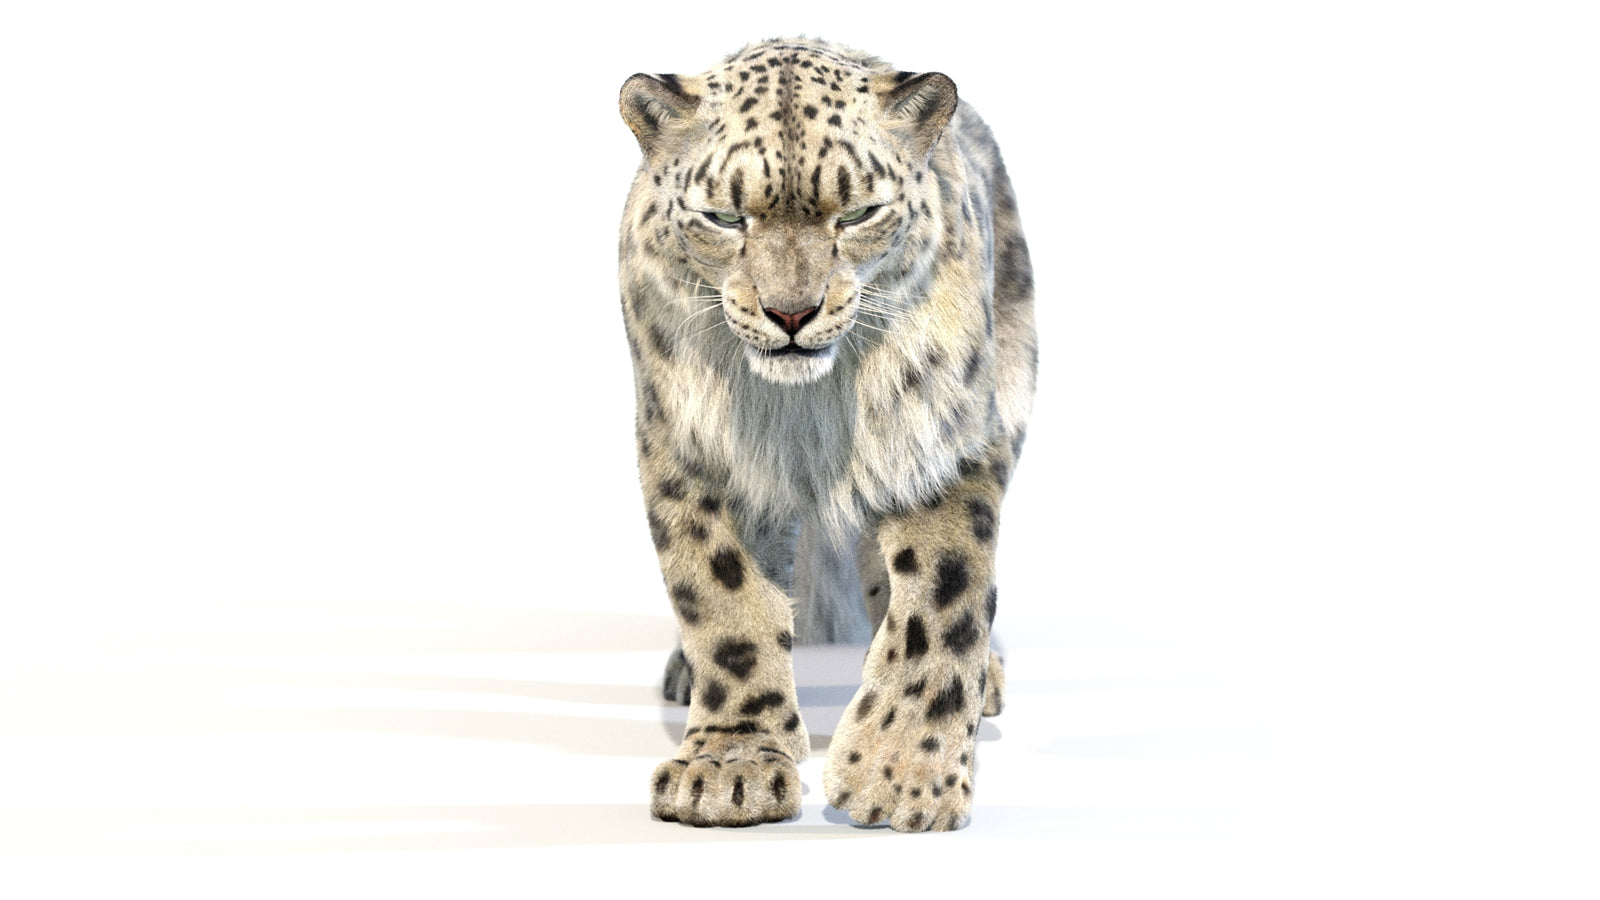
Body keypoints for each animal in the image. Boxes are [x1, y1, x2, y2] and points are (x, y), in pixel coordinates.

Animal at [617, 37, 1036, 832]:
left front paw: (899, 779)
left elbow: (943, 601)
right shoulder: (689, 448)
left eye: (860, 212)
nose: (791, 312)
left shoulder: (939, 439)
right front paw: (731, 767)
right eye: (725, 217)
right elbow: (721, 598)